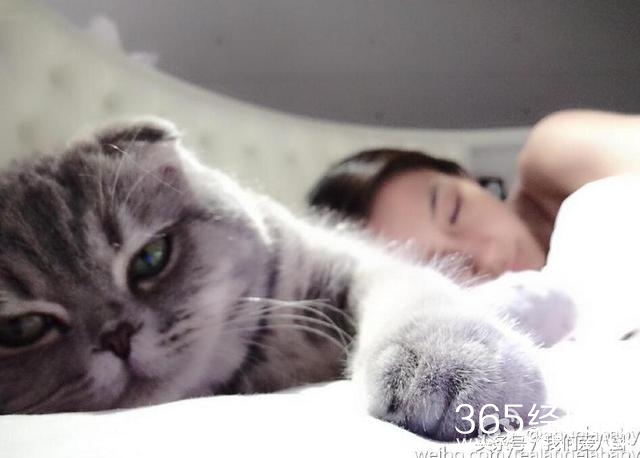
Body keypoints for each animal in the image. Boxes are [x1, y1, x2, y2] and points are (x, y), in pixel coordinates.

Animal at [0, 118, 554, 441]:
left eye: (150, 259)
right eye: (21, 330)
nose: (116, 335)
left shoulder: (343, 260)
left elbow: (417, 292)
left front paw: (454, 362)